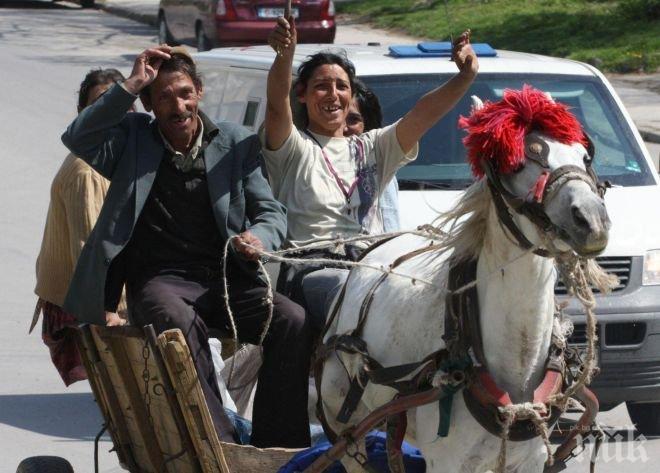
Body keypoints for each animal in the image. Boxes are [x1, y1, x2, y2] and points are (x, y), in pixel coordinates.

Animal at [318, 86, 612, 470]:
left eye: (584, 156)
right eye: (516, 162)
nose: (591, 220)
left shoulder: (529, 459)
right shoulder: (448, 462)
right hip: (343, 418)